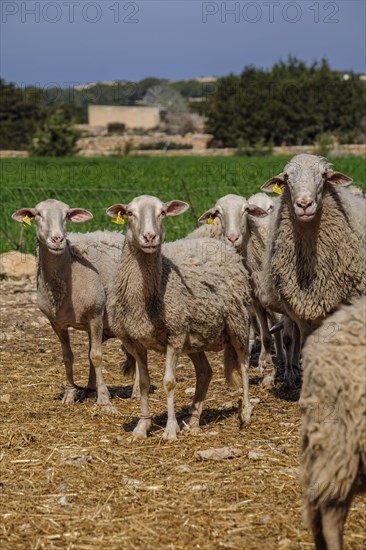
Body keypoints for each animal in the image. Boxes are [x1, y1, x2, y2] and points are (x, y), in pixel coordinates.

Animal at [11, 201, 129, 412]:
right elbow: (69, 357)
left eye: (66, 215)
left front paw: (104, 399)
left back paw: (138, 391)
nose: (58, 239)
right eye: (37, 214)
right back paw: (89, 389)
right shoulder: (56, 323)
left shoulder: (96, 315)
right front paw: (69, 394)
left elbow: (96, 356)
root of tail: (115, 233)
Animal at [106, 196, 254, 442]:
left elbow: (169, 382)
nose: (149, 237)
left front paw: (170, 430)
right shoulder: (134, 341)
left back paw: (245, 413)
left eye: (163, 212)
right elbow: (144, 383)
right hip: (194, 337)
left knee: (243, 365)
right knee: (205, 372)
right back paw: (193, 421)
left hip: (238, 322)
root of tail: (224, 245)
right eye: (129, 213)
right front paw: (141, 427)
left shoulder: (174, 336)